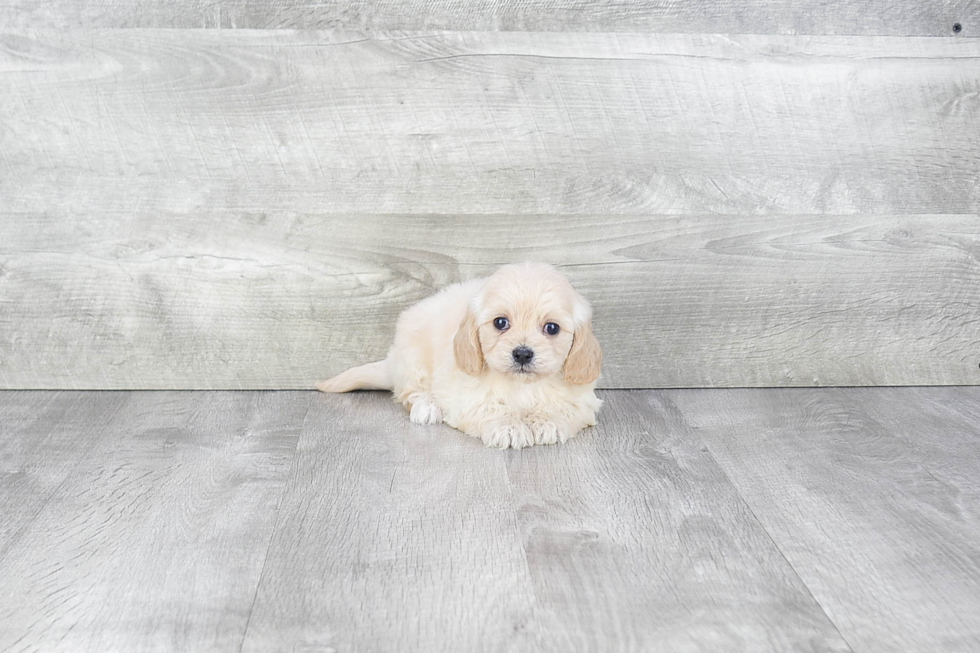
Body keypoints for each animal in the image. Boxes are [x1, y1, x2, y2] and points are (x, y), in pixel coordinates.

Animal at [318, 260, 600, 448]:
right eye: (500, 323)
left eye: (552, 328)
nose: (522, 354)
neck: (521, 386)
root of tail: (392, 361)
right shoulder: (467, 399)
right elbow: (490, 408)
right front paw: (509, 427)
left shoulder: (582, 400)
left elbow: (564, 408)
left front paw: (548, 422)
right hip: (413, 358)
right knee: (410, 392)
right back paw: (427, 407)